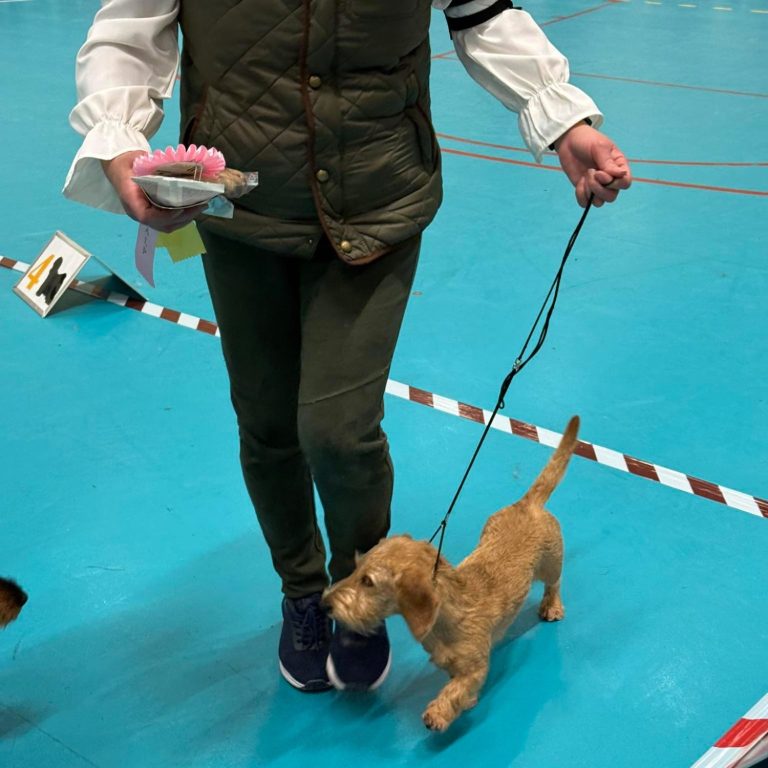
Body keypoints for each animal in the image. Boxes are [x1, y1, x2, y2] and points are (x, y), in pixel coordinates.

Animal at [323, 416, 579, 731]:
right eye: (357, 567)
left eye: (368, 581)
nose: (324, 603)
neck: (448, 614)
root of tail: (527, 503)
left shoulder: (476, 667)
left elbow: (457, 689)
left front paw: (440, 712)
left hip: (551, 563)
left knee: (554, 583)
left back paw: (552, 606)